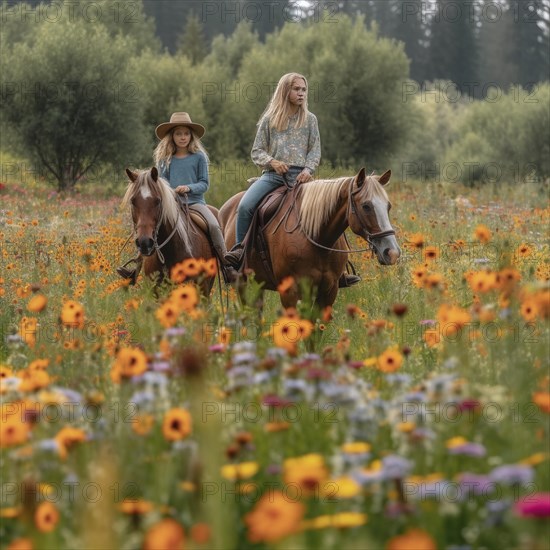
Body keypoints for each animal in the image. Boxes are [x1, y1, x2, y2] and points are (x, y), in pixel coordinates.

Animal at [218, 168, 404, 310]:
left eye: (388, 206)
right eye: (366, 206)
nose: (392, 252)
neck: (318, 240)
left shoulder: (329, 291)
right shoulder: (290, 293)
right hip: (242, 284)